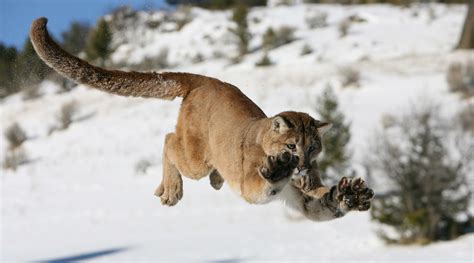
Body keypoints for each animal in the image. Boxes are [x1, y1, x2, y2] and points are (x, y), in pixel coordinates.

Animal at [29, 17, 374, 222]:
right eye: (292, 147)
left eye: (313, 148)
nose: (301, 166)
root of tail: (206, 79)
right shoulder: (251, 186)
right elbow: (266, 183)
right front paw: (277, 169)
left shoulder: (304, 198)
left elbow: (321, 202)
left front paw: (349, 195)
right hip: (195, 156)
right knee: (169, 140)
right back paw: (171, 190)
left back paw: (210, 180)